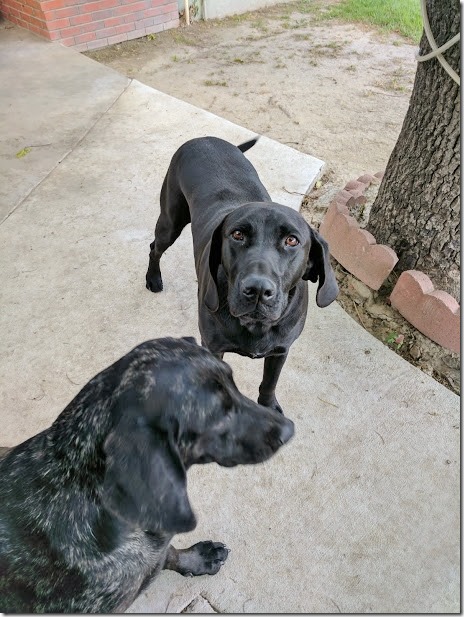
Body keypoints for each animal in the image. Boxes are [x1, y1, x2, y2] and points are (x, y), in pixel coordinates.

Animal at [0, 336, 294, 612]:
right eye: (218, 414)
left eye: (234, 384)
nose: (289, 430)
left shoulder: (157, 549)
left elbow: (170, 554)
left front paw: (198, 559)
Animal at [147, 136, 338, 414]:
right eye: (237, 234)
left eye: (292, 240)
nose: (257, 290)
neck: (256, 326)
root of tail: (203, 138)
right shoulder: (212, 347)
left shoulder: (280, 351)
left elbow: (269, 382)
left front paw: (268, 406)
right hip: (170, 222)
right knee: (154, 247)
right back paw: (153, 278)